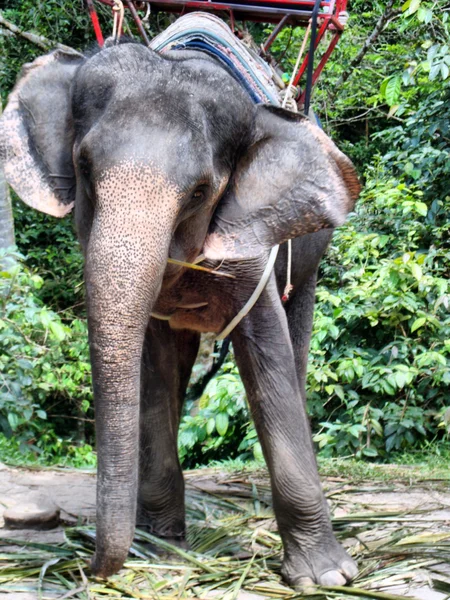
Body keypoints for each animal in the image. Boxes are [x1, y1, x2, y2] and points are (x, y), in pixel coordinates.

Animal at [0, 36, 360, 584]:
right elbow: (154, 368)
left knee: (296, 335)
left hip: (309, 257)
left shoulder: (251, 243)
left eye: (199, 191)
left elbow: (268, 355)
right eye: (83, 168)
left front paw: (327, 578)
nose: (90, 566)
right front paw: (159, 550)